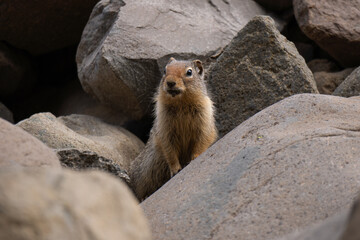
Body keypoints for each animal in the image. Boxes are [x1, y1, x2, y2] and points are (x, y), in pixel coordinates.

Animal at [129, 58, 217, 201]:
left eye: (189, 72)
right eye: (165, 70)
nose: (170, 82)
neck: (181, 104)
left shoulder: (205, 119)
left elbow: (202, 140)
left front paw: (194, 158)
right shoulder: (164, 128)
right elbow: (169, 150)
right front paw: (176, 169)